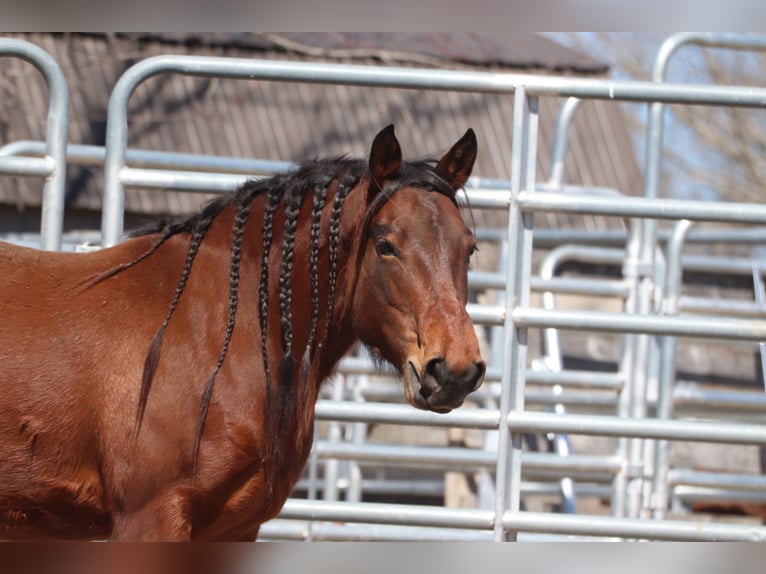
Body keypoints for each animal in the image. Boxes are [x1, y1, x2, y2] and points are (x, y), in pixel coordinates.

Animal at [0, 124, 488, 544]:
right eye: (386, 245)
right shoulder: (149, 520)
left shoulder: (235, 528)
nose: (455, 371)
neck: (215, 334)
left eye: (469, 249)